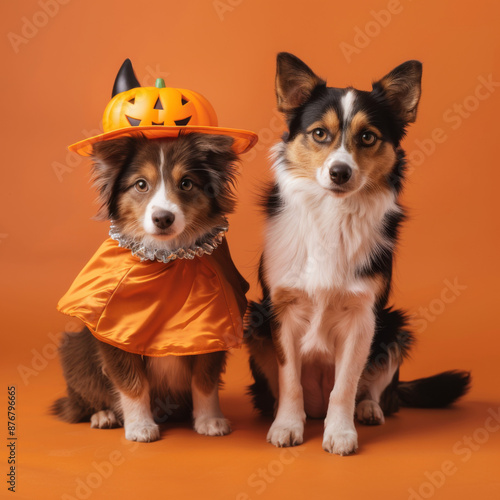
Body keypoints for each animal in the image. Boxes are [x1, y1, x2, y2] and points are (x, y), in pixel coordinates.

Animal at [244, 52, 470, 456]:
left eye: (368, 137)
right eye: (320, 133)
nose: (340, 172)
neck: (333, 213)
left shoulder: (363, 316)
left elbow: (345, 385)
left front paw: (340, 433)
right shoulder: (280, 310)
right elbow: (290, 381)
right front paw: (286, 426)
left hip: (395, 328)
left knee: (376, 392)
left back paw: (367, 410)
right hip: (254, 321)